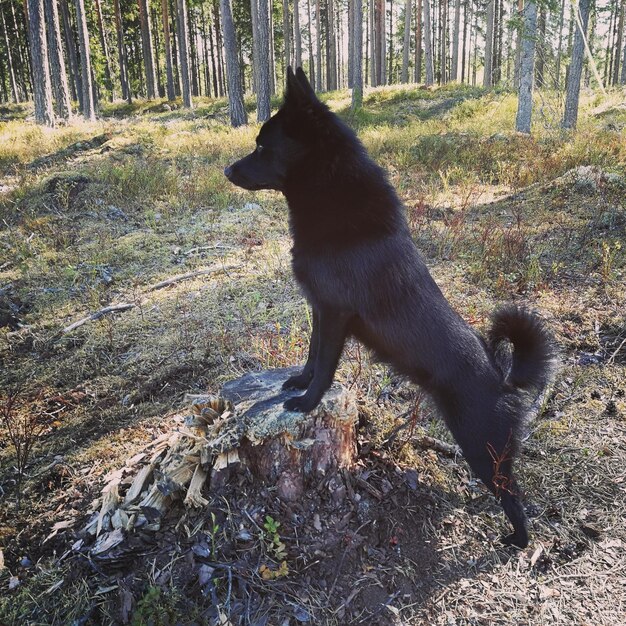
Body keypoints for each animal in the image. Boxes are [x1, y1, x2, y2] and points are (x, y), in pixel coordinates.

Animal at [223, 68, 552, 544]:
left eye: (263, 147)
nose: (227, 169)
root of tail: (504, 379)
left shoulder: (336, 313)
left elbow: (325, 366)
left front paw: (307, 400)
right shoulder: (320, 309)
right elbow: (311, 355)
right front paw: (297, 382)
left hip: (482, 448)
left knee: (514, 498)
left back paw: (517, 541)